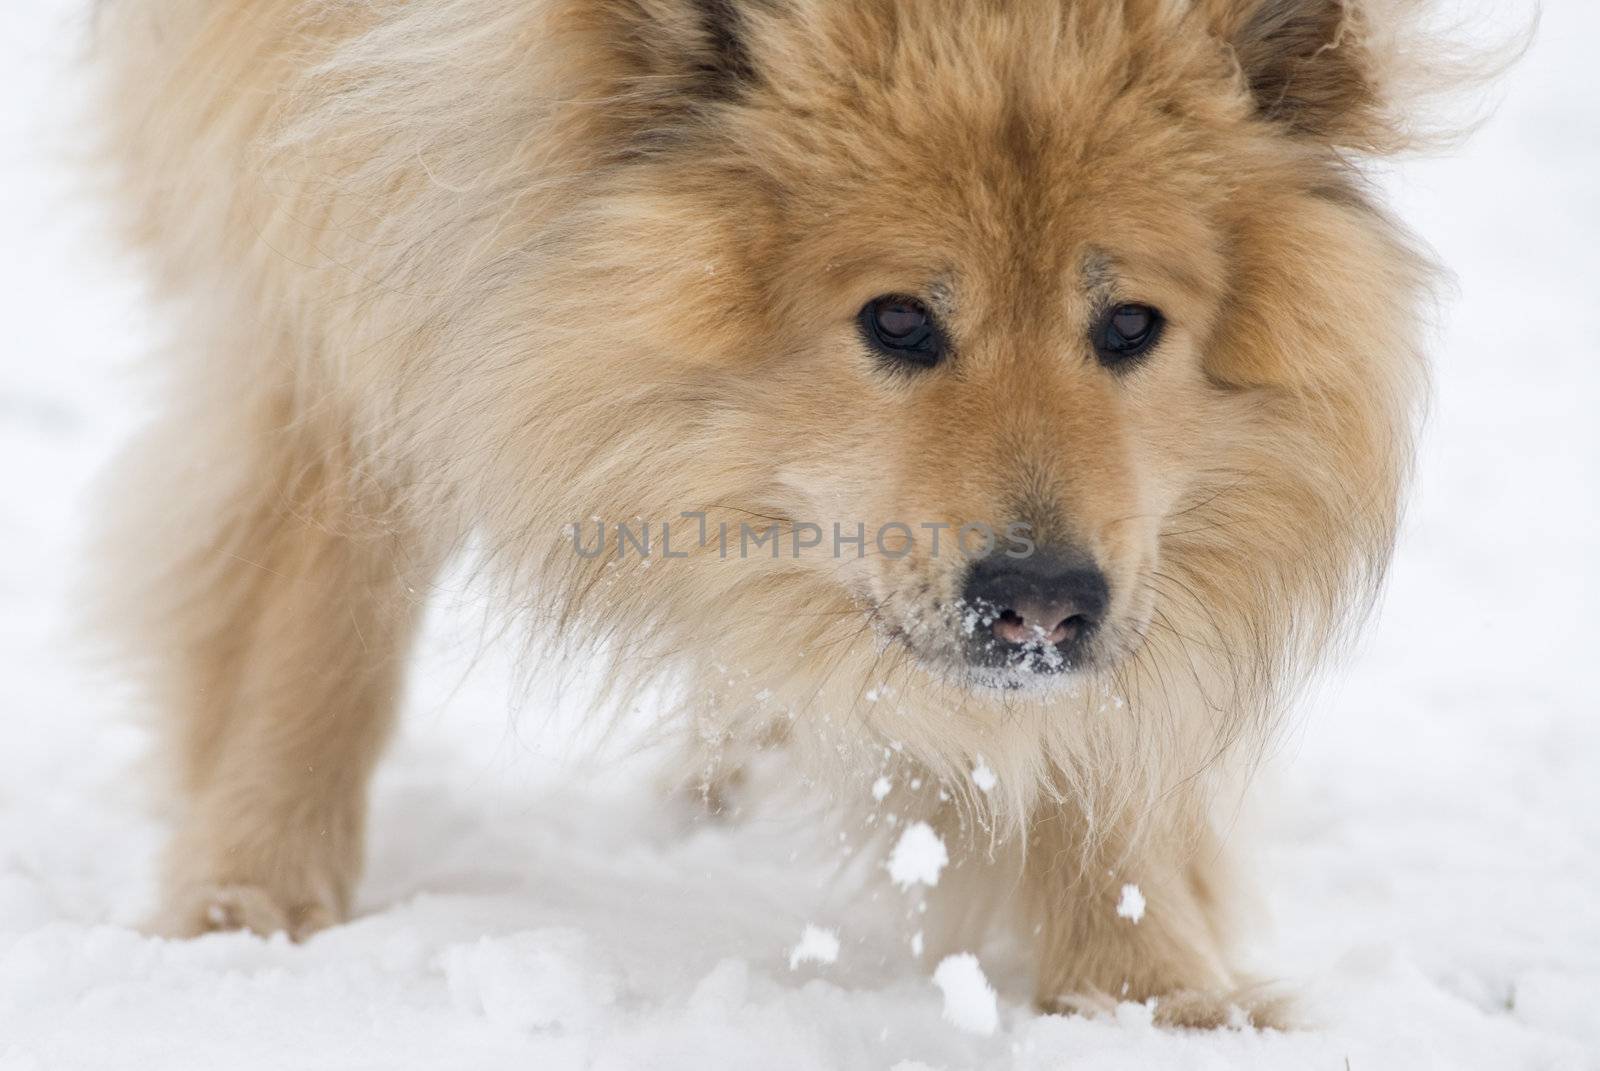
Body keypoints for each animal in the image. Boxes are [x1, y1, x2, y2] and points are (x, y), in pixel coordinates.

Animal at [93, 0, 1459, 1024]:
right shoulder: (335, 241)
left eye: (1128, 327)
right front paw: (252, 910)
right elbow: (313, 622)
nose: (1040, 605)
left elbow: (1097, 749)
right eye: (897, 320)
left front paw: (1149, 996)